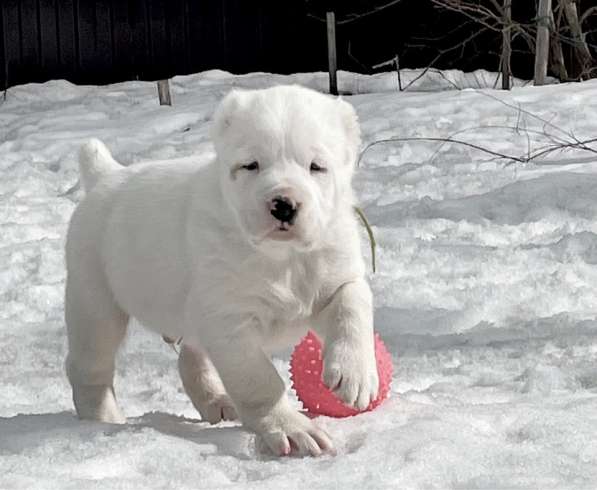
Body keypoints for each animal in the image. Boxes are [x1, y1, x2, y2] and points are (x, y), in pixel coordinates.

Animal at [65, 84, 378, 456]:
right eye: (251, 165)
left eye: (316, 167)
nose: (283, 204)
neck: (282, 258)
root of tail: (107, 175)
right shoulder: (229, 322)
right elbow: (258, 379)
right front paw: (291, 429)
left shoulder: (337, 274)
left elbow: (353, 305)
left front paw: (354, 374)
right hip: (95, 301)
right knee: (89, 367)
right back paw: (103, 418)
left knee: (190, 356)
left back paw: (216, 401)